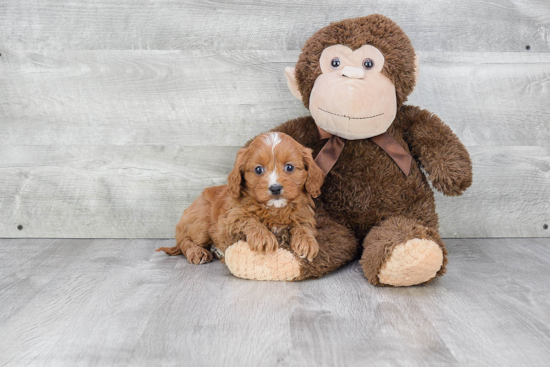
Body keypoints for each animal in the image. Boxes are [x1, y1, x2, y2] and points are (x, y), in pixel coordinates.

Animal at [155, 132, 326, 264]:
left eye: (289, 167)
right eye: (258, 170)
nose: (275, 188)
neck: (274, 209)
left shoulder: (304, 215)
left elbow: (303, 226)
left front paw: (307, 242)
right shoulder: (229, 218)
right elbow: (248, 219)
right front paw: (263, 238)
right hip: (201, 221)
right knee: (185, 241)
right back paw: (197, 252)